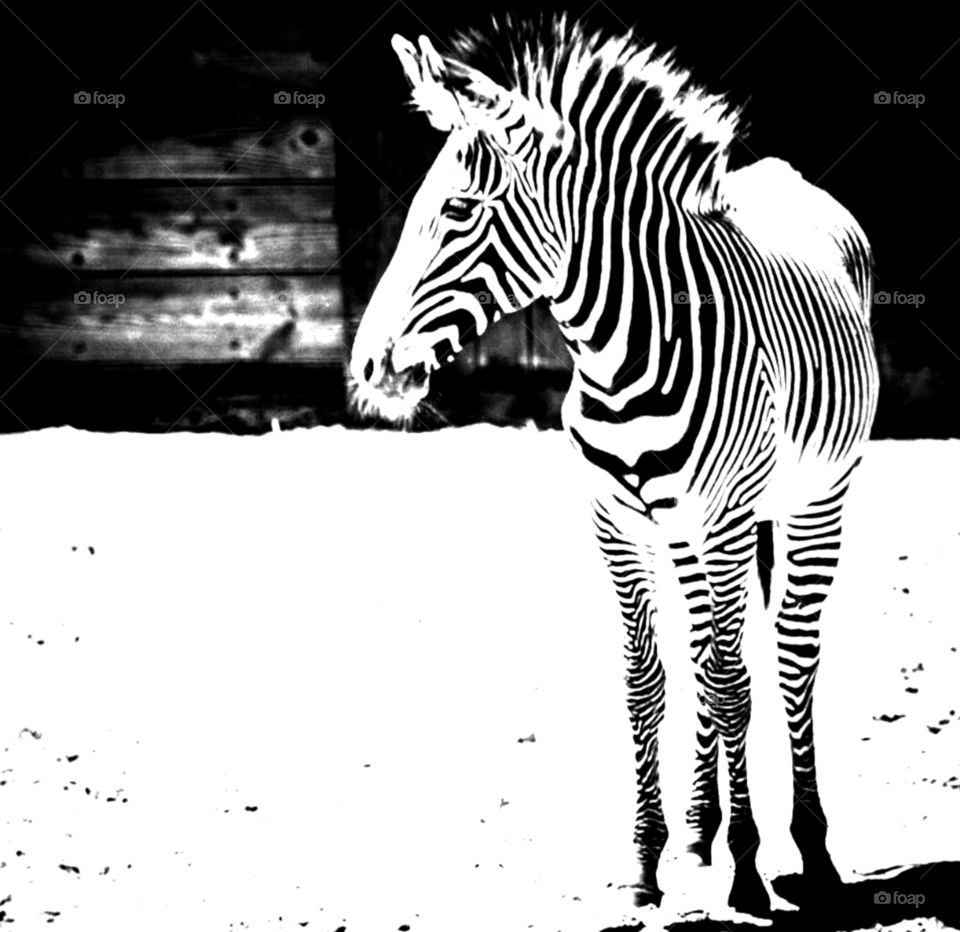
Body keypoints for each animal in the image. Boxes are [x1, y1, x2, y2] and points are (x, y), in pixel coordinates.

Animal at [349, 15, 879, 917]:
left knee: (789, 657)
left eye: (457, 209)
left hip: (812, 500)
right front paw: (648, 859)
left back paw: (809, 848)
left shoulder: (725, 515)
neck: (621, 359)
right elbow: (650, 682)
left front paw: (747, 869)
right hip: (688, 532)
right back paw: (702, 829)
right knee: (706, 646)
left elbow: (732, 682)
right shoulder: (616, 525)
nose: (370, 369)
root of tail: (787, 174)